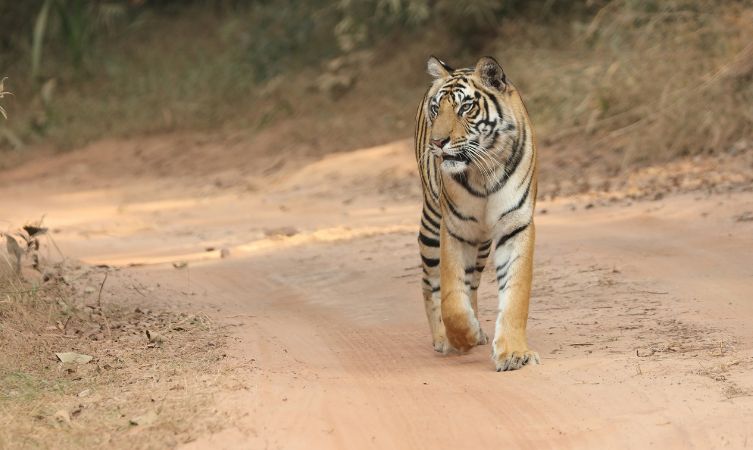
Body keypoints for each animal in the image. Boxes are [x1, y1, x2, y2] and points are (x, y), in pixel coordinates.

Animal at [414, 56, 540, 371]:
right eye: (436, 109)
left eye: (465, 108)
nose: (437, 142)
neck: (483, 172)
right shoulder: (455, 229)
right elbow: (451, 299)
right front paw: (463, 336)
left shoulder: (515, 226)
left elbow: (515, 294)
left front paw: (514, 354)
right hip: (431, 225)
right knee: (430, 283)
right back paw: (443, 339)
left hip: (482, 242)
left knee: (471, 282)